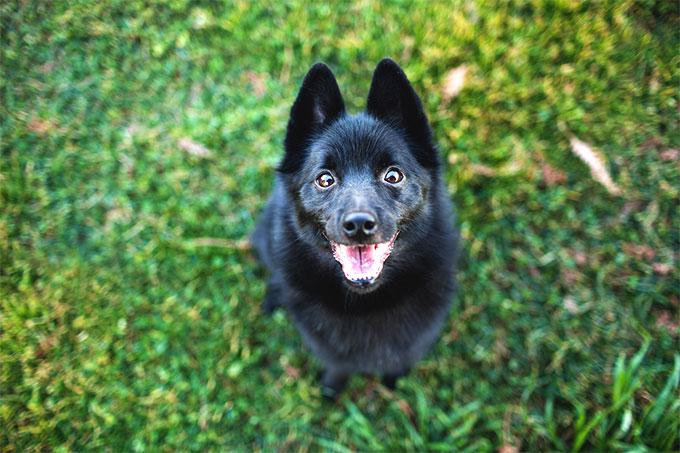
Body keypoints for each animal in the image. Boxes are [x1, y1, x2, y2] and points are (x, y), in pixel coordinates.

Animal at [252, 58, 460, 398]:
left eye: (393, 175)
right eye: (325, 179)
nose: (359, 224)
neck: (367, 303)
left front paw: (393, 379)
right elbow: (338, 366)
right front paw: (332, 389)